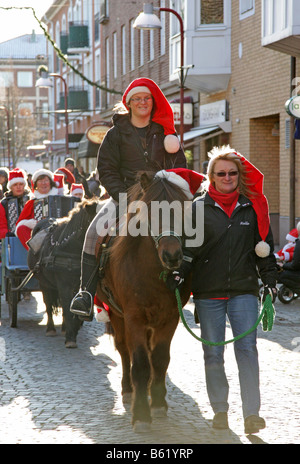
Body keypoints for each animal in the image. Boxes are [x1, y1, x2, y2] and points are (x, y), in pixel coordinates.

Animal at [27, 198, 98, 346]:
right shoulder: (64, 285)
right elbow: (66, 305)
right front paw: (71, 337)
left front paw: (73, 328)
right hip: (44, 283)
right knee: (48, 304)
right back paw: (51, 329)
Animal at [96, 172, 195, 434]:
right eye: (149, 210)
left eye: (182, 210)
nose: (172, 256)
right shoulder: (134, 318)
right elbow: (139, 363)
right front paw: (141, 414)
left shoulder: (170, 317)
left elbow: (160, 359)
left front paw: (158, 403)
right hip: (117, 316)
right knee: (124, 350)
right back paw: (128, 389)